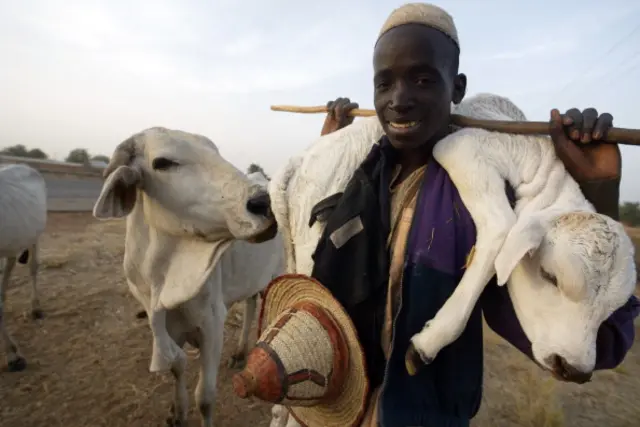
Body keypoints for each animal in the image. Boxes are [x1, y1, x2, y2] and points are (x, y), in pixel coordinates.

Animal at [91, 128, 282, 427]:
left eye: (216, 153)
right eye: (162, 163)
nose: (263, 204)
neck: (162, 279)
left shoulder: (212, 324)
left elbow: (204, 396)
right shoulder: (166, 326)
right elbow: (177, 367)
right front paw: (177, 412)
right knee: (251, 304)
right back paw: (240, 353)